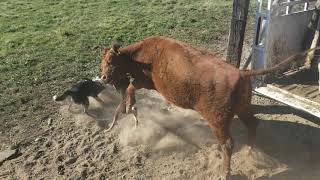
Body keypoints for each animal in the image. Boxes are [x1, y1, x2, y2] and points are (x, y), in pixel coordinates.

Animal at [100, 36, 318, 179]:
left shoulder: (145, 80)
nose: (103, 77)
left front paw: (130, 106)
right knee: (253, 124)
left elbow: (131, 87)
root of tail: (241, 72)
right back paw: (249, 153)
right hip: (242, 109)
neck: (141, 55)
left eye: (110, 61)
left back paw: (224, 172)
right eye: (102, 62)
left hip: (218, 120)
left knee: (228, 143)